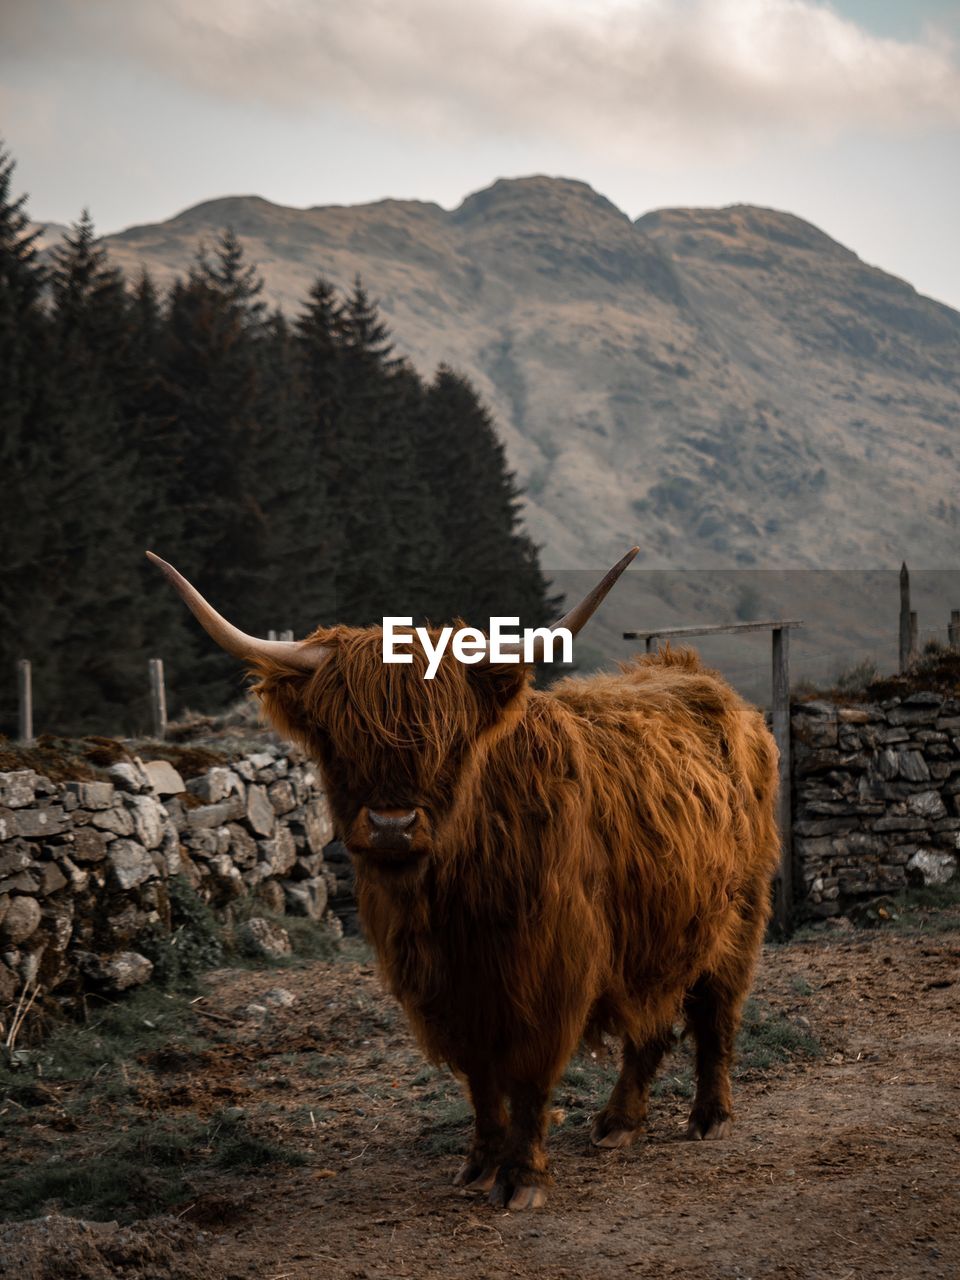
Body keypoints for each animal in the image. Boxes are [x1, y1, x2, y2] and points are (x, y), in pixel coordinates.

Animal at [148, 550, 783, 1208]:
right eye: (339, 737)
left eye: (448, 740)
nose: (392, 826)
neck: (453, 899)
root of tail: (697, 678)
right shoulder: (448, 987)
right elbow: (481, 1080)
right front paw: (480, 1163)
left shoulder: (550, 970)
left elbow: (528, 1076)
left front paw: (522, 1176)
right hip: (659, 928)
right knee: (652, 1021)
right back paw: (618, 1123)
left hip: (738, 917)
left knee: (716, 1013)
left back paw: (709, 1116)